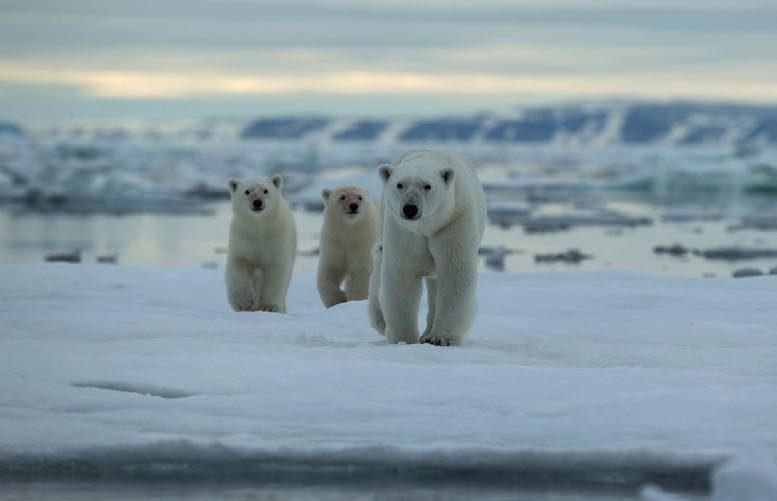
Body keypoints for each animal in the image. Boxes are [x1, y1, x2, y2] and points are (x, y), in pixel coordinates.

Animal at [227, 174, 298, 310]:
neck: (259, 227)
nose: (257, 202)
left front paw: (269, 307)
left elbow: (275, 270)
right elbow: (240, 263)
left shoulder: (276, 239)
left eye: (265, 190)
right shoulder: (243, 237)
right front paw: (245, 301)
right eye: (247, 191)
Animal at [370, 146, 484, 346]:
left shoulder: (453, 220)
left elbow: (454, 271)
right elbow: (402, 274)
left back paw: (427, 334)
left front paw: (441, 338)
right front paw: (404, 339)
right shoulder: (403, 230)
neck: (426, 227)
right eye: (400, 184)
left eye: (427, 186)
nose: (410, 208)